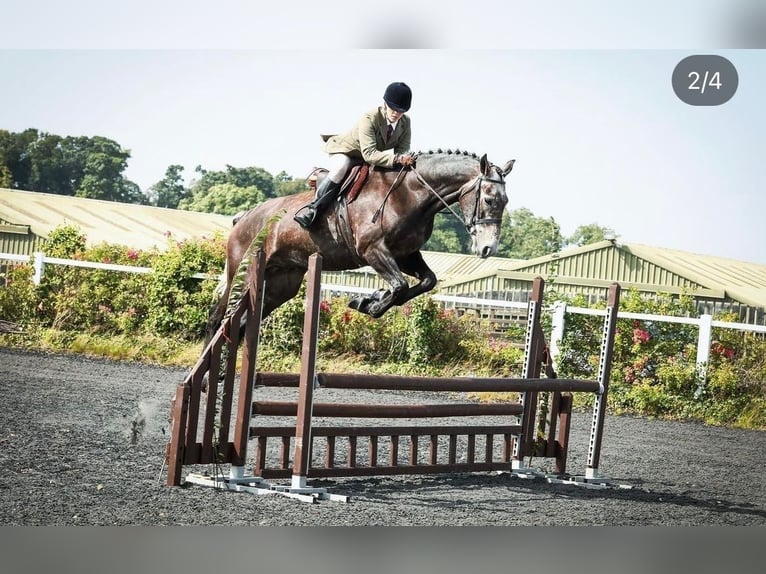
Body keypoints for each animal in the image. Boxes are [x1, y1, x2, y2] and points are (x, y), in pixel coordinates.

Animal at [204, 150, 516, 346]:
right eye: (489, 199)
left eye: (505, 201)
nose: (488, 248)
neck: (410, 195)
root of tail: (245, 216)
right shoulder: (372, 250)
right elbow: (400, 286)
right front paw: (368, 302)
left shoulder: (405, 255)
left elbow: (425, 281)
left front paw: (370, 299)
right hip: (244, 276)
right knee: (219, 317)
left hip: (281, 284)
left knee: (243, 322)